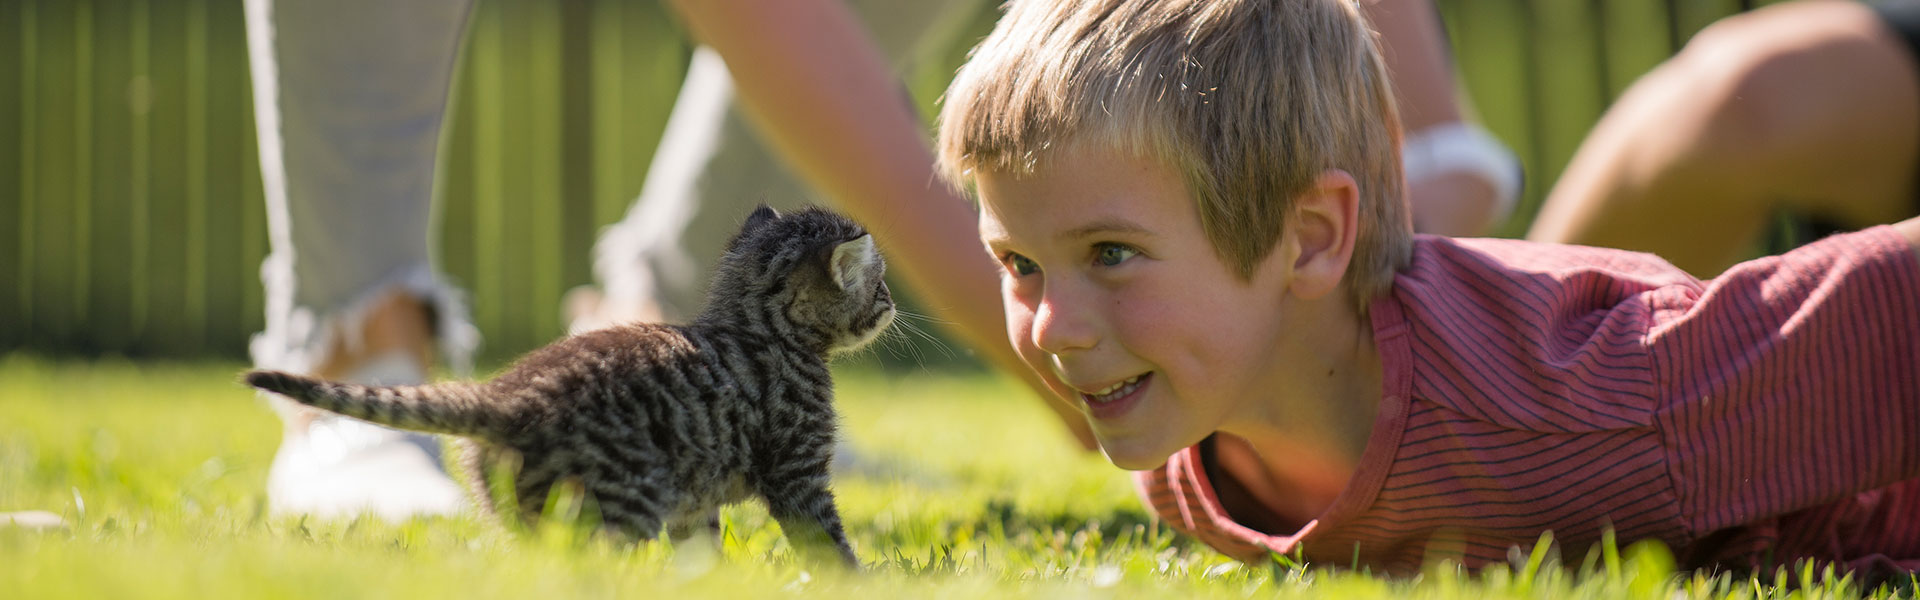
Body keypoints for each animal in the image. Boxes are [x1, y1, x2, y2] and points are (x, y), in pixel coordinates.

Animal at [243, 205, 894, 565]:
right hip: (622, 503)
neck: (754, 325)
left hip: (527, 507)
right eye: (878, 280)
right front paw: (854, 582)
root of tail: (499, 397)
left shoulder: (696, 501)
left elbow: (701, 554)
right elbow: (827, 543)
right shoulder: (797, 476)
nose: (891, 301)